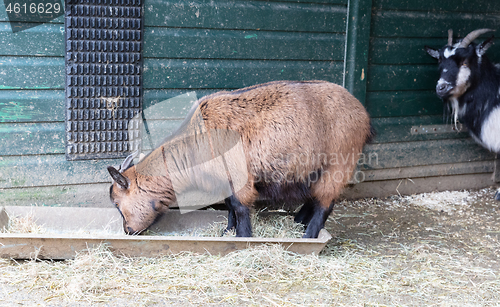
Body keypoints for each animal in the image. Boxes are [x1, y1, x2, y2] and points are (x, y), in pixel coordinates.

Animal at [107, 80, 374, 239]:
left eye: (118, 204)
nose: (128, 230)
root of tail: (362, 112)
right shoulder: (224, 181)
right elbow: (229, 207)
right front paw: (228, 230)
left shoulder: (239, 179)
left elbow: (240, 207)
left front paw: (243, 236)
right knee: (315, 197)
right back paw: (299, 221)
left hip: (338, 165)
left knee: (325, 203)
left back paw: (309, 235)